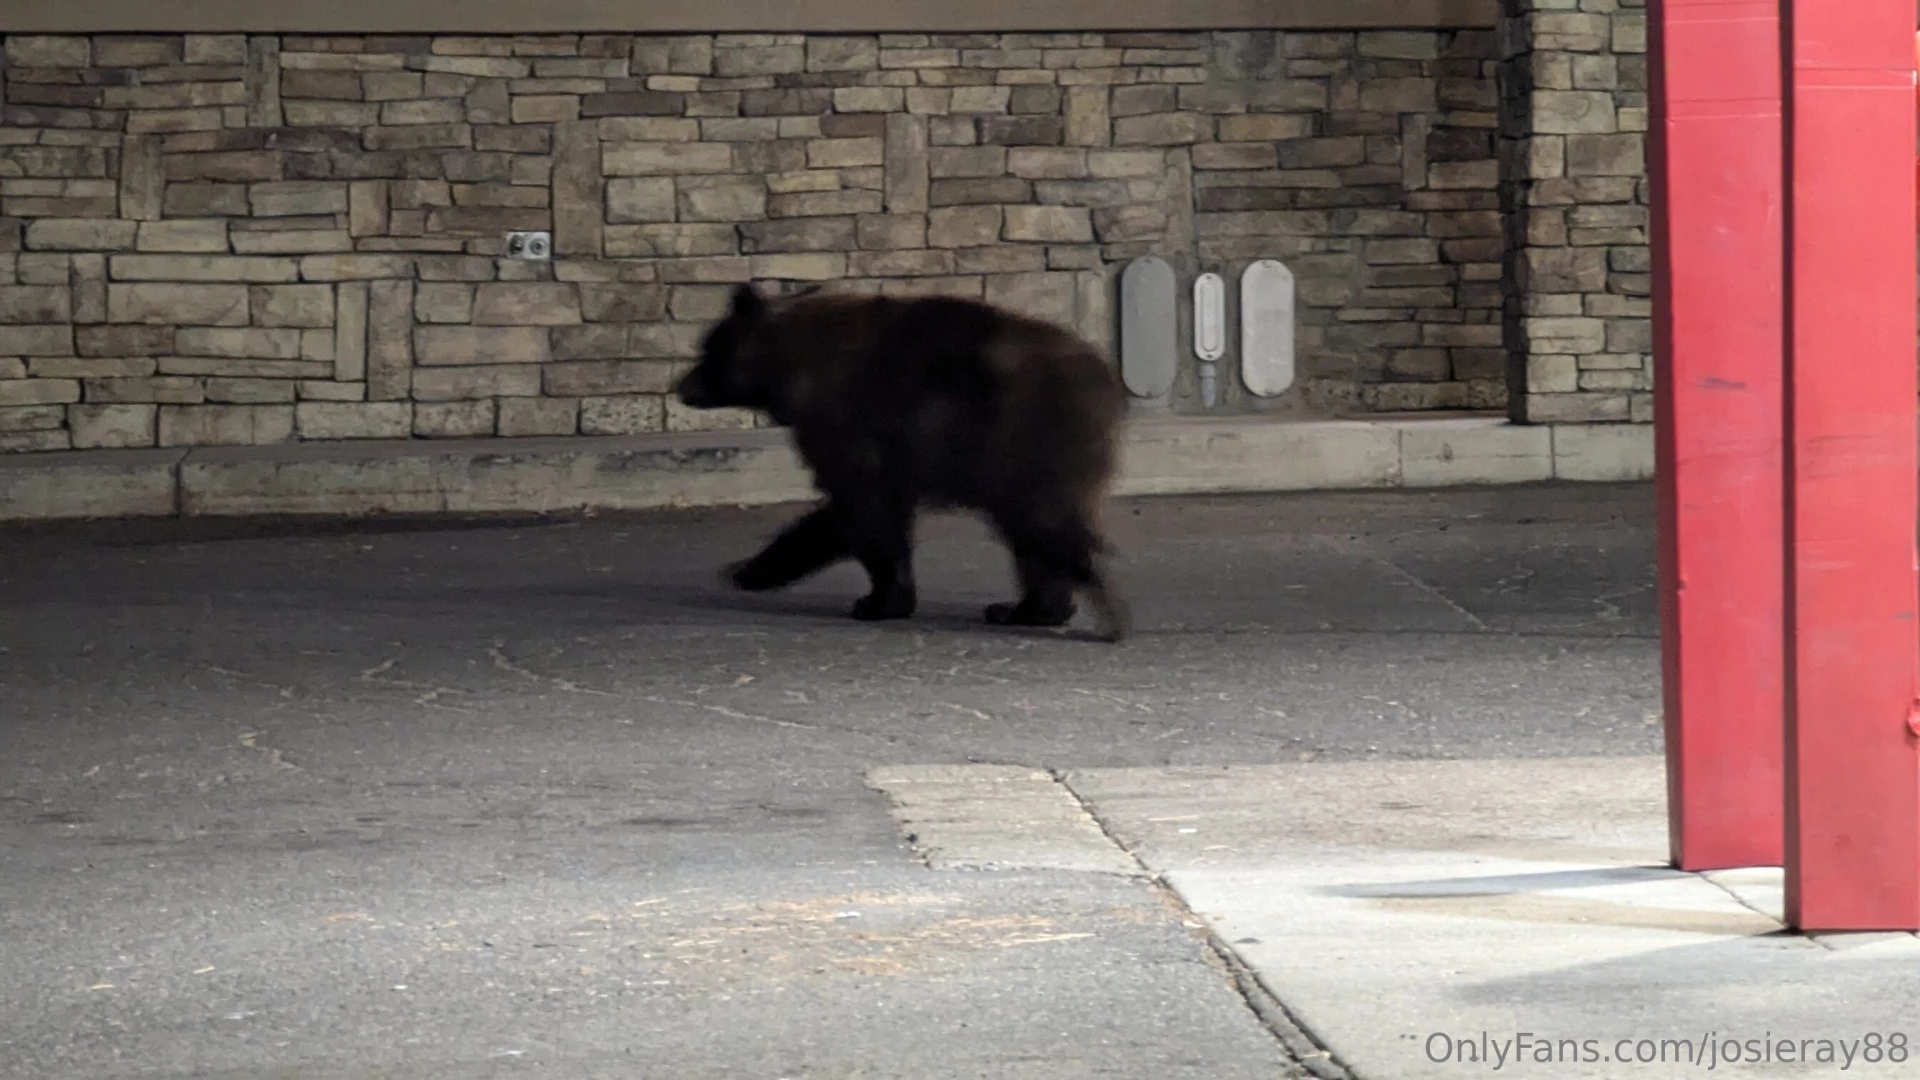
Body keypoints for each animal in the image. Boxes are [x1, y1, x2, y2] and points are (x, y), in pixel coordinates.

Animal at [673, 282, 1131, 643]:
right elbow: (854, 511)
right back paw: (1029, 608)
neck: (789, 366)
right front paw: (751, 569)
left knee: (1044, 525)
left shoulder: (849, 420)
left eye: (708, 348)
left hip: (1021, 442)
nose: (682, 386)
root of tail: (1103, 383)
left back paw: (1080, 612)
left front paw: (876, 601)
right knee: (1036, 534)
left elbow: (864, 507)